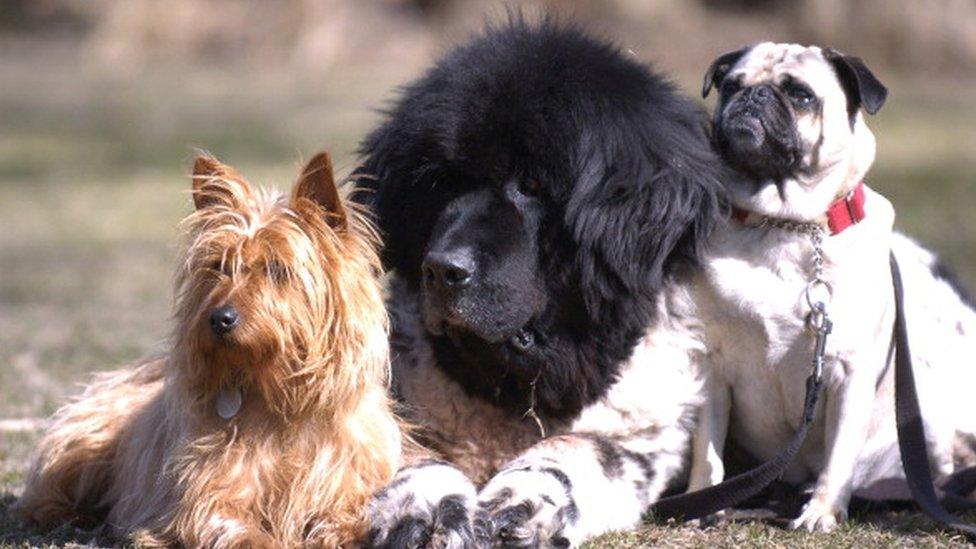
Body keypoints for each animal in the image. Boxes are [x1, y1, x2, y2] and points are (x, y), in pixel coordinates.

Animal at [356, 18, 724, 548]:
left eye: (530, 186)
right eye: (440, 184)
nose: (443, 269)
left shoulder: (641, 434)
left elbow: (577, 447)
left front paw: (526, 499)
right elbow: (405, 447)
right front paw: (423, 504)